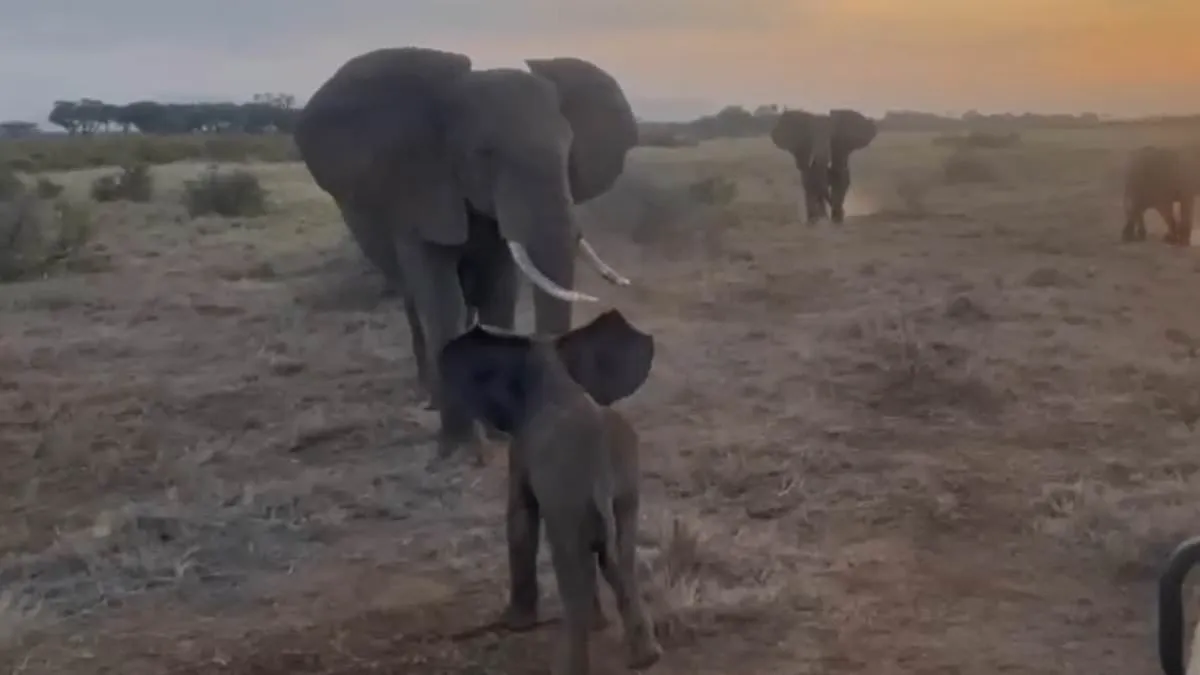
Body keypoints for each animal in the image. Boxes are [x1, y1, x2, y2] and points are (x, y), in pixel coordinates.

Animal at [294, 47, 638, 460]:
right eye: (483, 154)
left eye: (569, 151)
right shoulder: (418, 193)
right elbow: (442, 299)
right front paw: (457, 447)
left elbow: (500, 295)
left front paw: (499, 434)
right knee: (415, 304)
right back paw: (429, 396)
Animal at [438, 309, 661, 675]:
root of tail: (599, 469)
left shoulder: (521, 450)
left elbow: (520, 519)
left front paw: (516, 624)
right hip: (623, 491)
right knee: (622, 559)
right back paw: (646, 658)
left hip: (568, 500)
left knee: (574, 572)